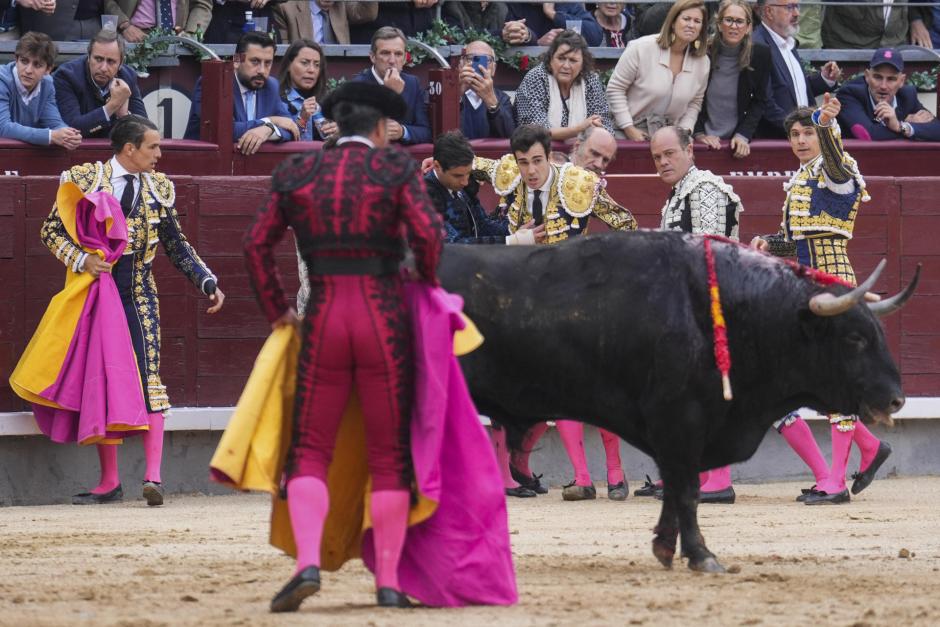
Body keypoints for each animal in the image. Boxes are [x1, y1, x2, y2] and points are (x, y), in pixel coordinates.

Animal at [438, 229, 916, 576]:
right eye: (854, 338)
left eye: (879, 333)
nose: (896, 399)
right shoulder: (679, 421)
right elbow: (685, 491)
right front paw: (702, 555)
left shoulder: (682, 431)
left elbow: (676, 489)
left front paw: (668, 548)